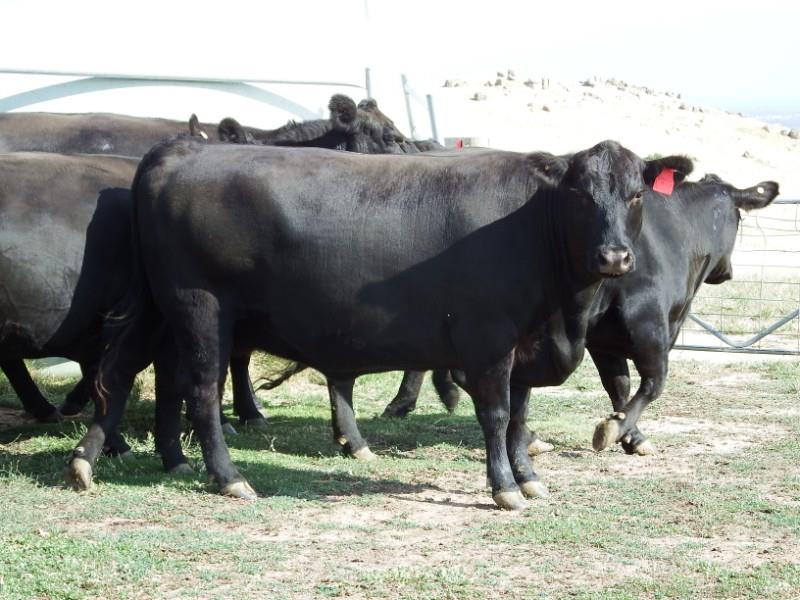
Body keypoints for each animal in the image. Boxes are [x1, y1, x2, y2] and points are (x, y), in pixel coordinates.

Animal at [64, 138, 691, 510]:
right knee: (198, 393)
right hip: (202, 311)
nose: (614, 257)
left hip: (159, 311)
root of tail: (177, 151)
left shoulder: (527, 346)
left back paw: (90, 461)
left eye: (636, 195)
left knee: (126, 376)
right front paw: (504, 488)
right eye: (581, 195)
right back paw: (228, 476)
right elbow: (495, 416)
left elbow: (519, 418)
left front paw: (528, 477)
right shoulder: (487, 340)